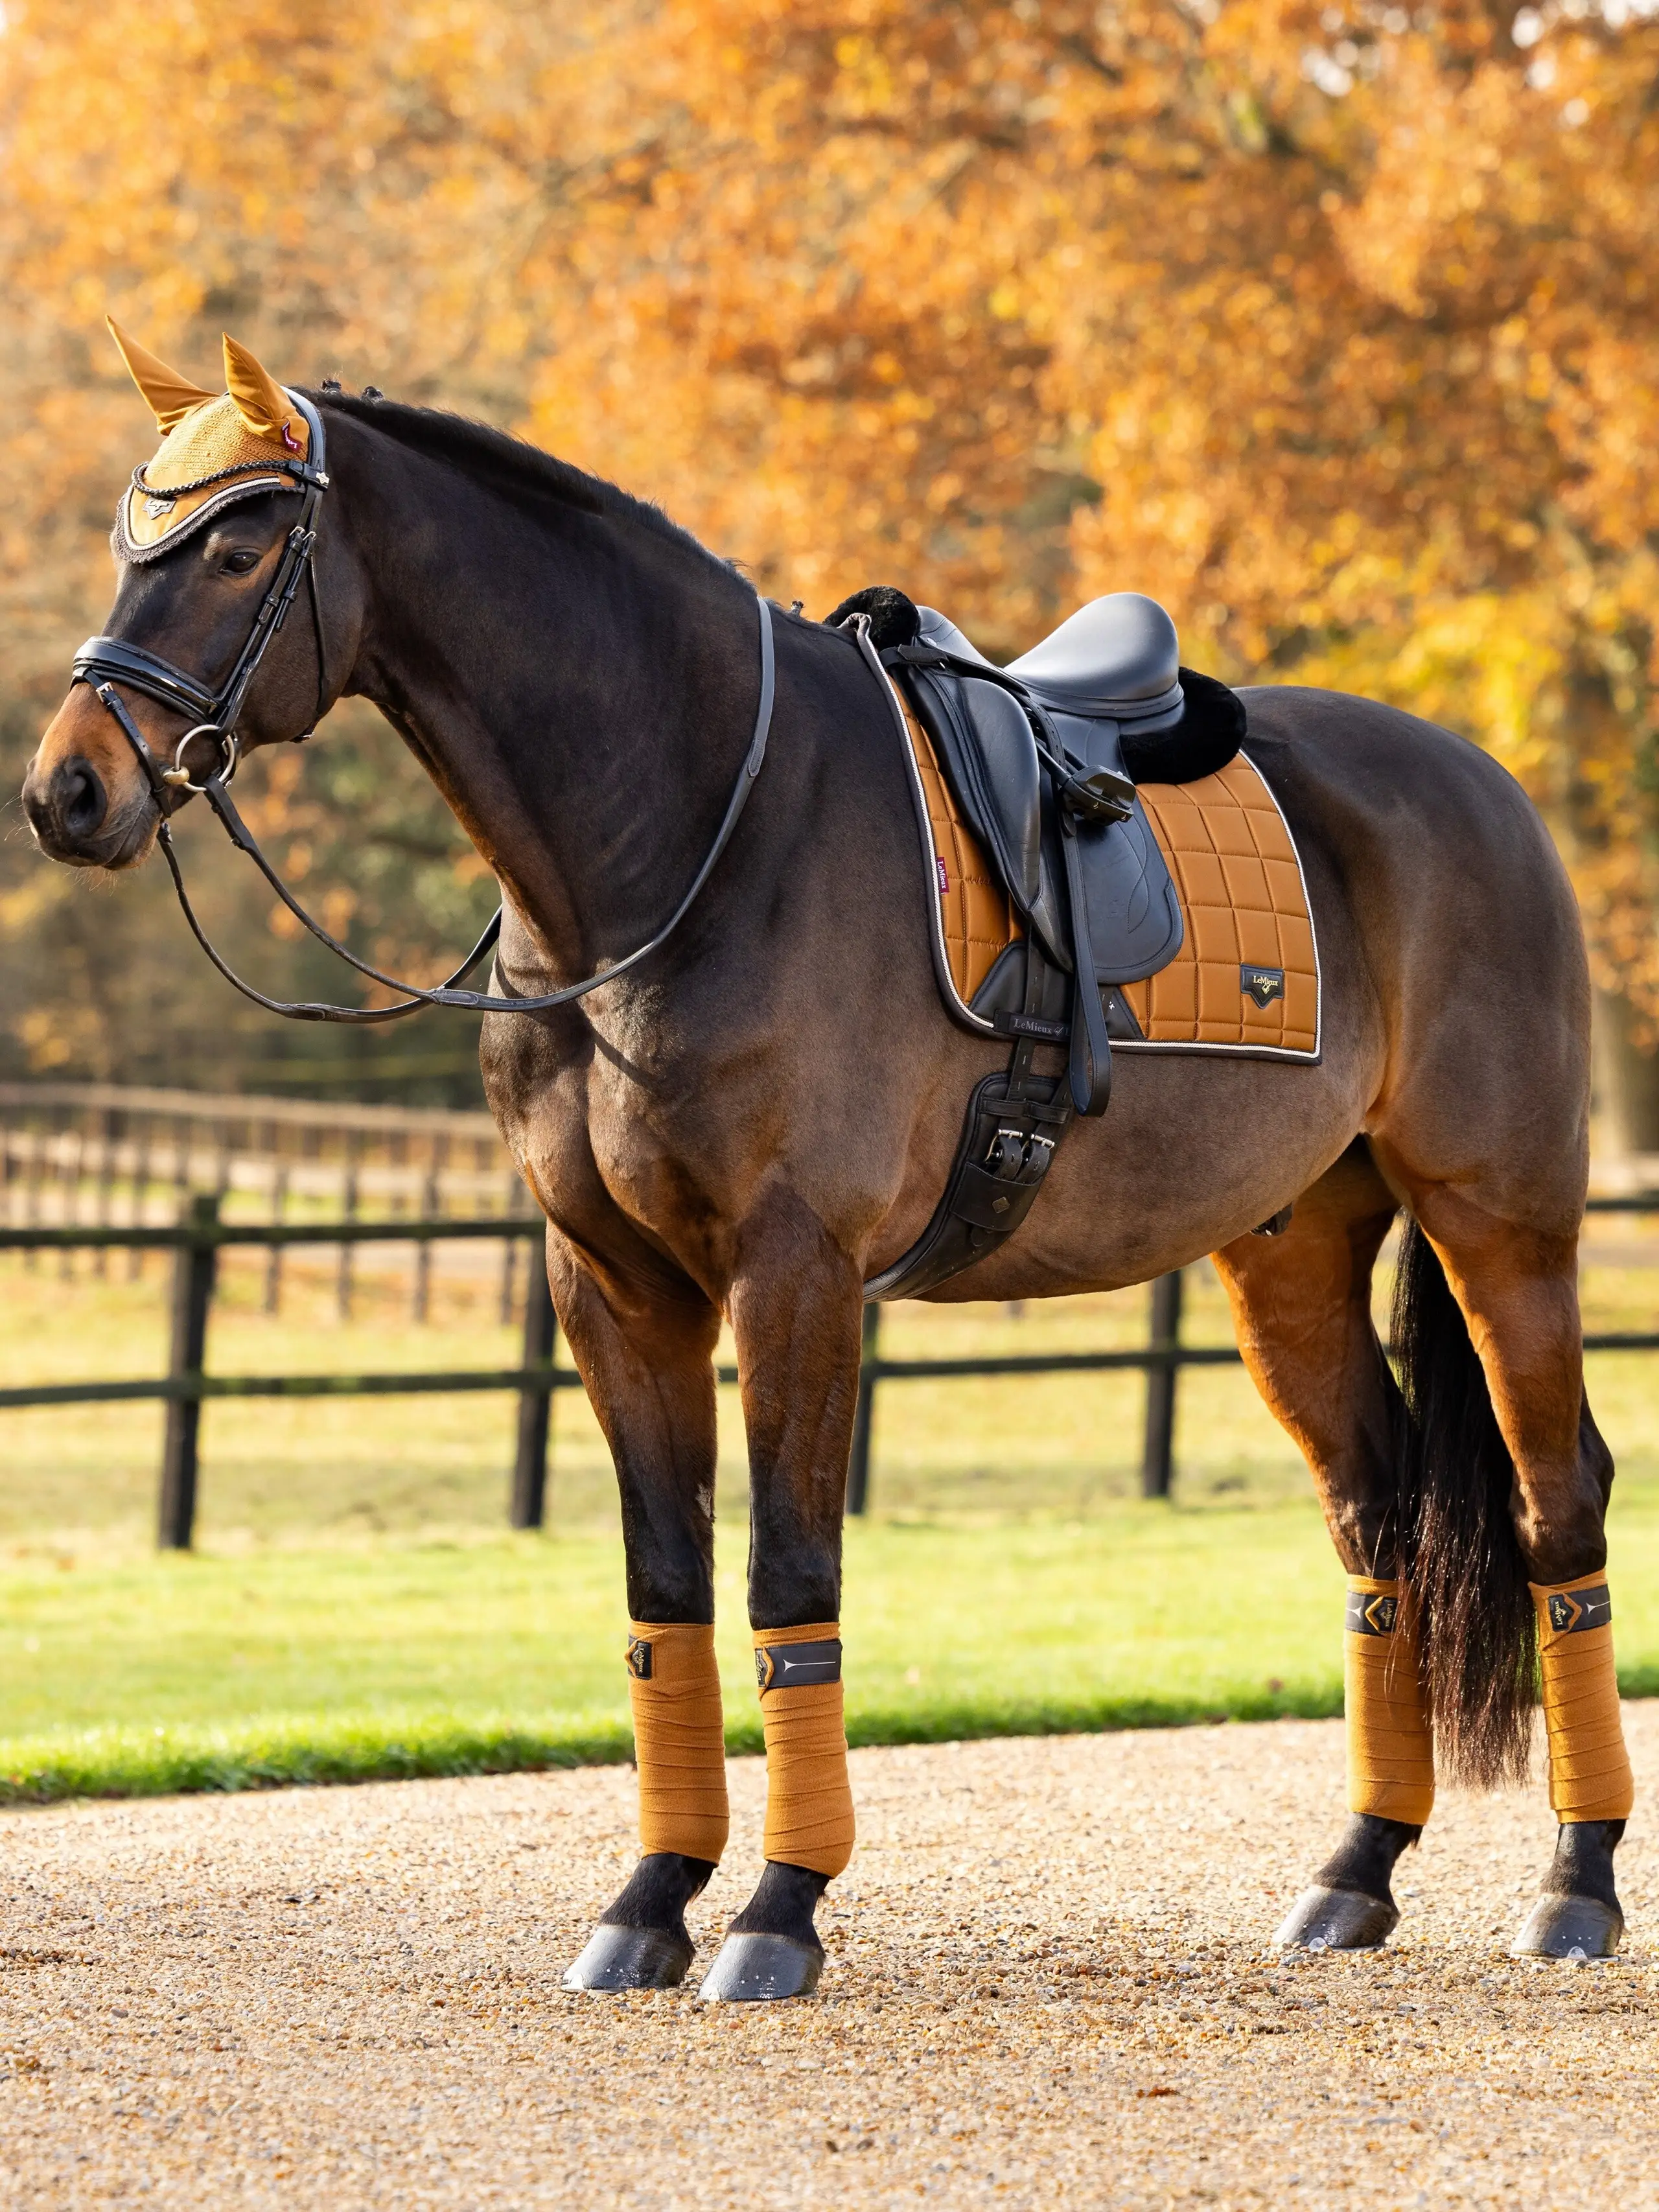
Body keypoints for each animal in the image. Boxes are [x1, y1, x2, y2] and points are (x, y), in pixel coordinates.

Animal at [21, 330, 1633, 2001]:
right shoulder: (613, 1284)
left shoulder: (792, 1271)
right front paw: (651, 1895)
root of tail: (1478, 787)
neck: (686, 844)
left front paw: (776, 1908)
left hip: (1500, 1224)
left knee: (1554, 1501)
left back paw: (1572, 1882)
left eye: (236, 543)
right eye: (133, 540)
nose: (67, 790)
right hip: (1289, 1249)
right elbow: (663, 1586)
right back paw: (1354, 1868)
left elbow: (787, 1577)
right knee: (1376, 1516)